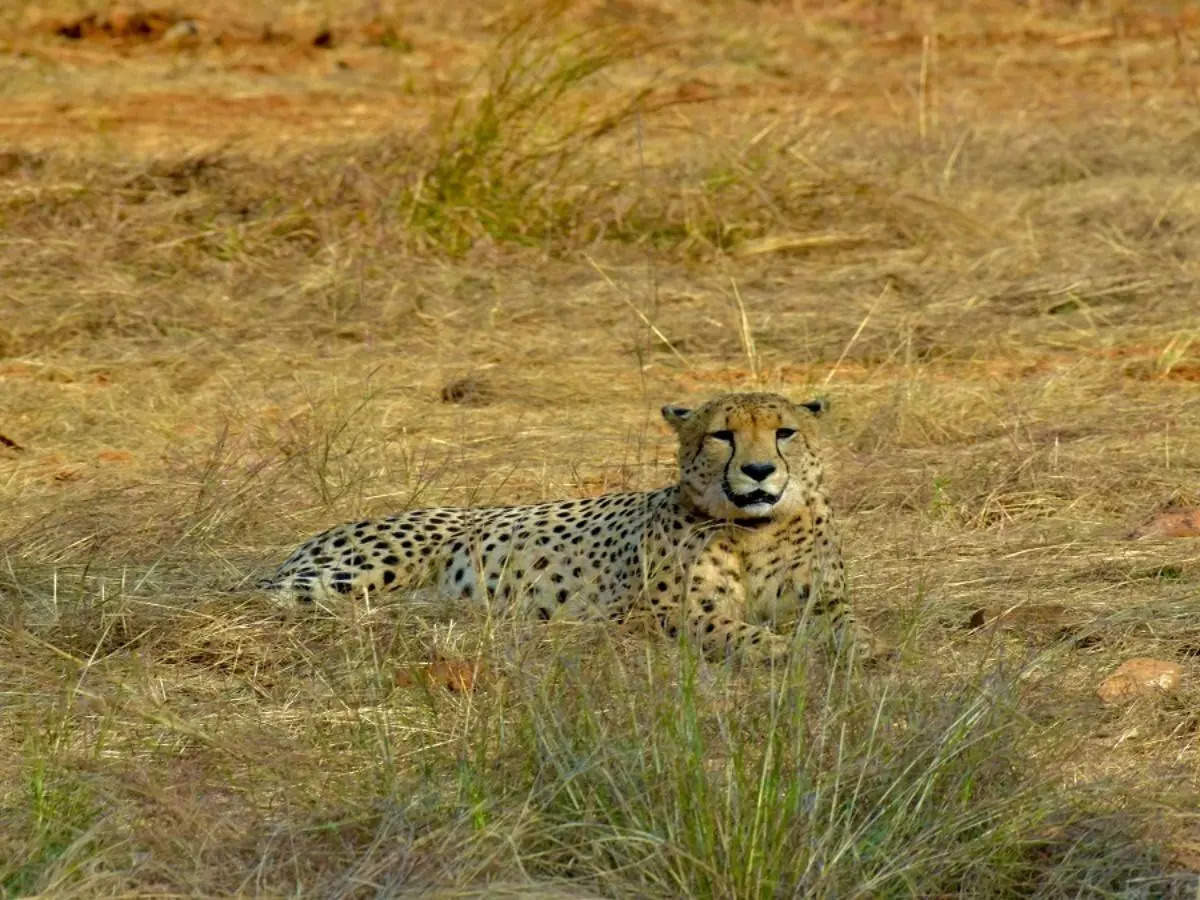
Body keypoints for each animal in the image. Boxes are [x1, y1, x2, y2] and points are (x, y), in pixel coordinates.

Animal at [258, 393, 868, 662]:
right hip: (350, 574)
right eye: (723, 435)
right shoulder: (664, 613)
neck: (754, 529)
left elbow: (849, 625)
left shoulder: (822, 600)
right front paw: (783, 651)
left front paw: (859, 648)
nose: (759, 471)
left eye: (784, 432)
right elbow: (733, 630)